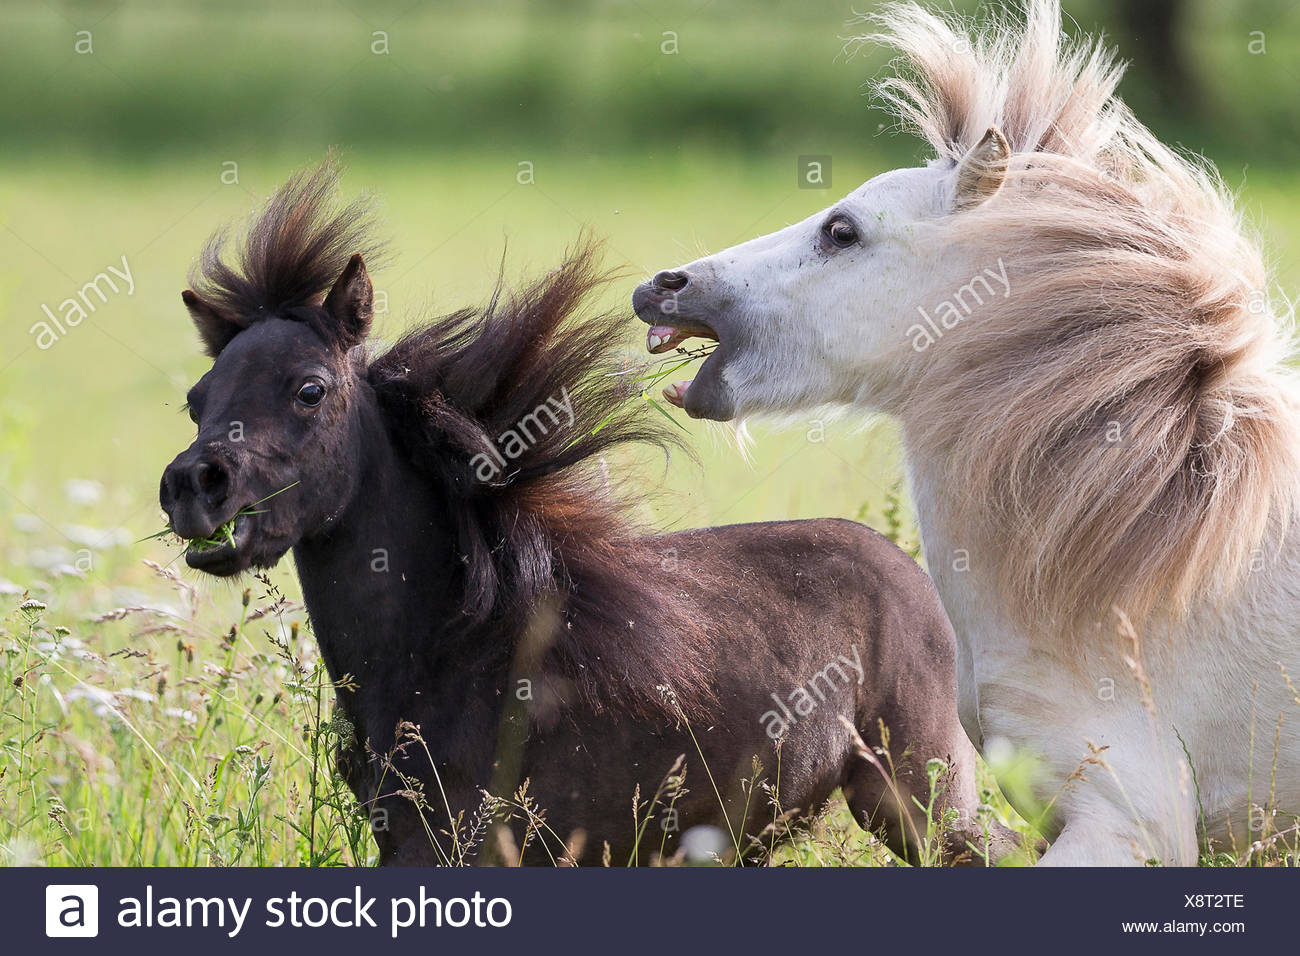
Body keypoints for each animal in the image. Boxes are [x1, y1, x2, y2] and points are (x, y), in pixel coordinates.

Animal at [157, 161, 1017, 866]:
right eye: (197, 400)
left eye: (309, 389)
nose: (195, 486)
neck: (449, 648)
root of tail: (909, 569)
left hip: (923, 799)